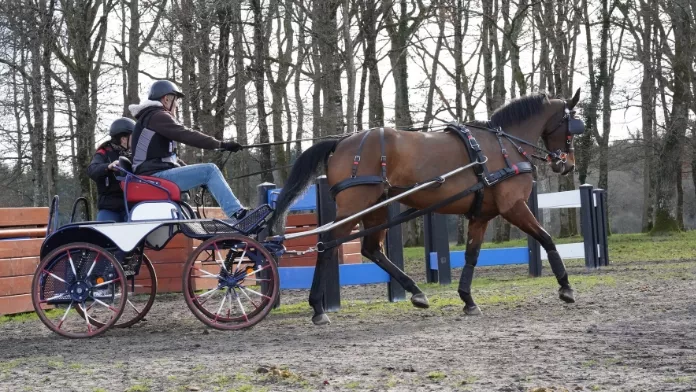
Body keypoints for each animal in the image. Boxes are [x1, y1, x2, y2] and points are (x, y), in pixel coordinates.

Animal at [270, 89, 584, 324]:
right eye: (573, 127)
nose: (567, 164)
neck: (504, 146)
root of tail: (342, 141)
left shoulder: (481, 215)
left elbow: (472, 256)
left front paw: (467, 299)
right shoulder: (514, 207)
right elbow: (546, 238)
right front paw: (566, 287)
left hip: (376, 208)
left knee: (371, 249)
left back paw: (416, 292)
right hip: (353, 207)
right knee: (327, 245)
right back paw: (318, 308)